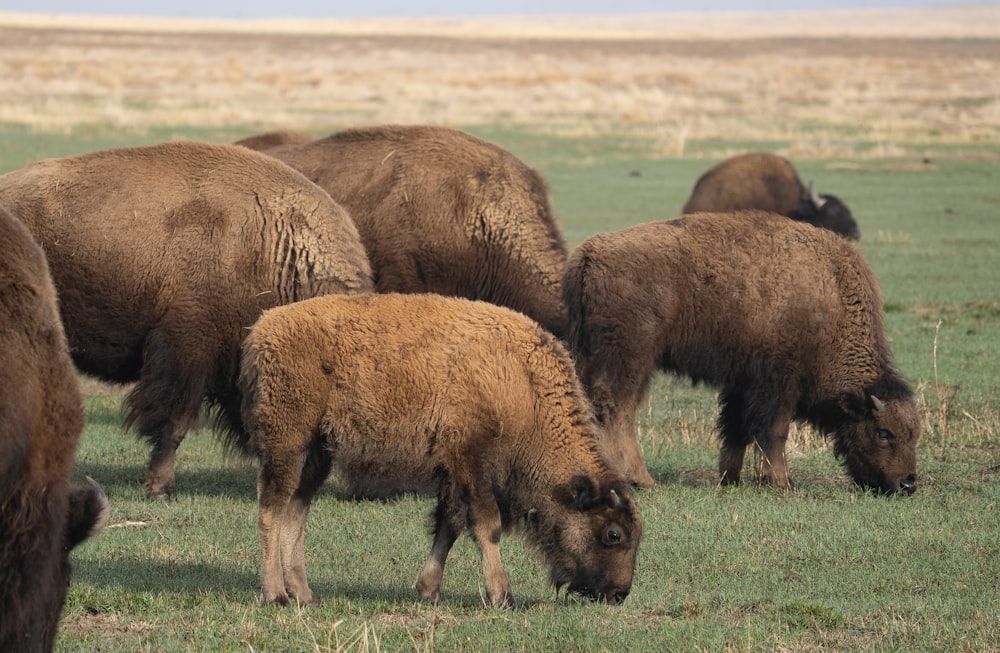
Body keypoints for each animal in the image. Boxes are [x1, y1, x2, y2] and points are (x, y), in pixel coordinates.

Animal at [233, 290, 640, 608]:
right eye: (613, 534)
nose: (618, 594)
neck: (523, 385)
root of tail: (261, 330)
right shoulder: (473, 465)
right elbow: (487, 526)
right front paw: (502, 596)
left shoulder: (453, 474)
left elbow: (449, 525)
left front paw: (428, 590)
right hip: (287, 445)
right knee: (272, 509)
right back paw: (276, 595)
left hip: (316, 454)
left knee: (295, 513)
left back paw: (305, 594)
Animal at [564, 211, 920, 492]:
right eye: (883, 432)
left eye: (914, 434)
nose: (908, 484)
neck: (830, 300)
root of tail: (589, 253)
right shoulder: (778, 383)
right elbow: (774, 432)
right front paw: (782, 483)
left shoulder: (741, 383)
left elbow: (735, 429)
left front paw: (729, 479)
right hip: (633, 358)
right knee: (618, 411)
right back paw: (640, 479)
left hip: (590, 354)